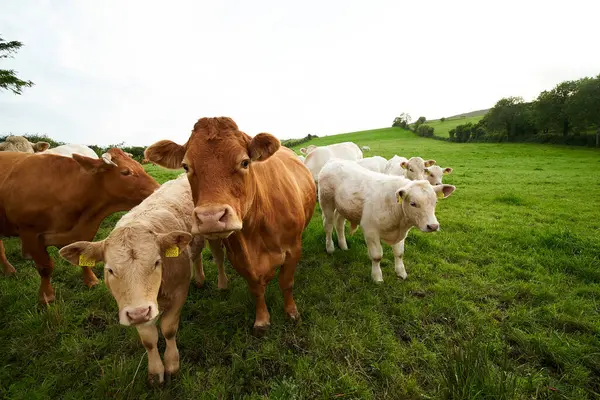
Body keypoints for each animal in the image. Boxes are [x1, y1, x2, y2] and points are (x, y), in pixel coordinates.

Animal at [0, 149, 159, 304]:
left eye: (140, 167)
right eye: (125, 172)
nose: (158, 189)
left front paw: (91, 281)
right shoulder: (30, 233)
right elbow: (45, 267)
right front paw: (46, 296)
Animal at [60, 176, 225, 388]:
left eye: (156, 262)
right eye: (110, 270)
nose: (139, 312)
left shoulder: (179, 292)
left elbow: (168, 329)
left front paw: (172, 364)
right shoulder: (131, 306)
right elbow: (148, 339)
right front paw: (156, 372)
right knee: (196, 255)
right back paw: (199, 280)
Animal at [145, 116, 316, 334]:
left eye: (245, 162)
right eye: (185, 166)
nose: (210, 217)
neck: (255, 231)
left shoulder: (293, 249)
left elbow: (286, 283)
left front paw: (292, 312)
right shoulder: (239, 258)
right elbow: (256, 289)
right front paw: (262, 319)